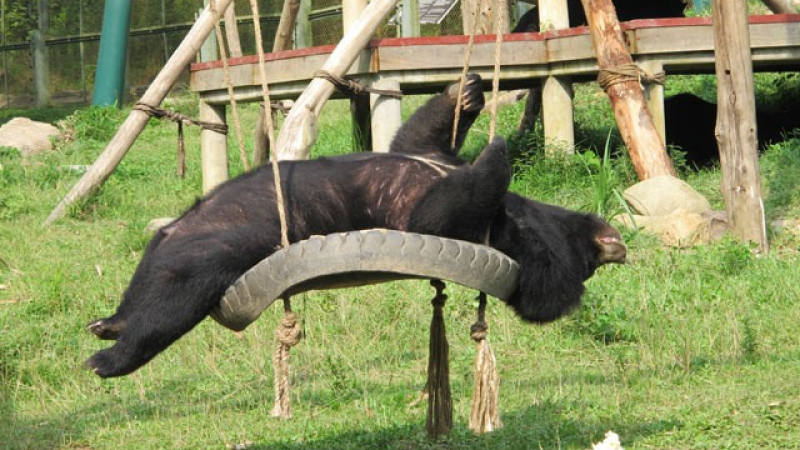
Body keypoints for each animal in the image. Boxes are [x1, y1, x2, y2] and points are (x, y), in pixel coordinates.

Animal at [86, 74, 626, 378]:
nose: (613, 245)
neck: (516, 221)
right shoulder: (433, 161)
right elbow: (412, 137)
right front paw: (467, 91)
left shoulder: (457, 227)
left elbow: (437, 215)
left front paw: (496, 150)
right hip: (173, 239)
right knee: (152, 278)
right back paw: (110, 321)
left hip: (215, 257)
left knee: (172, 303)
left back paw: (109, 355)